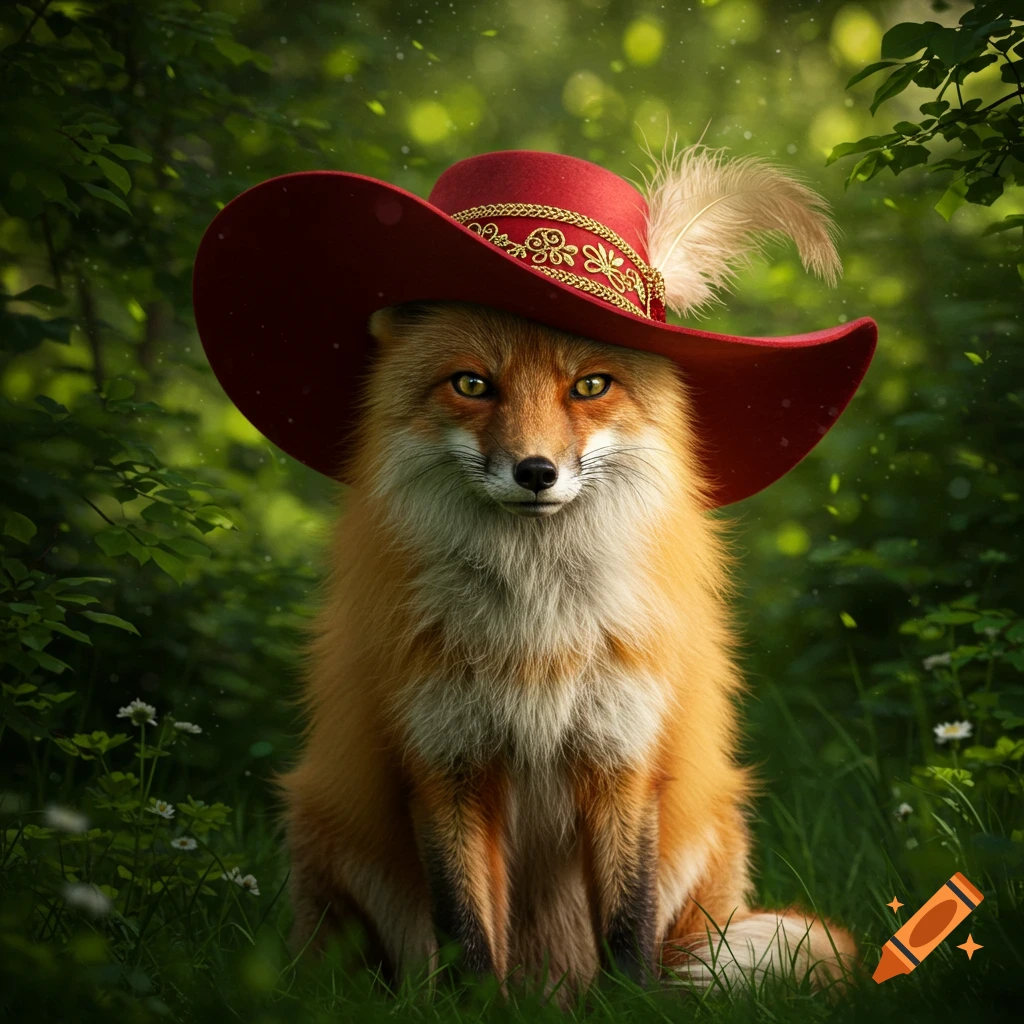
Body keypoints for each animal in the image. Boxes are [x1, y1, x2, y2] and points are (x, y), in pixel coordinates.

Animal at [276, 294, 859, 995]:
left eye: (589, 386)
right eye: (472, 384)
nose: (535, 472)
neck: (537, 632)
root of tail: (553, 991)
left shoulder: (621, 757)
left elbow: (628, 923)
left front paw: (633, 1004)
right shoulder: (444, 764)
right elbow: (467, 931)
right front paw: (476, 1007)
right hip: (326, 845)